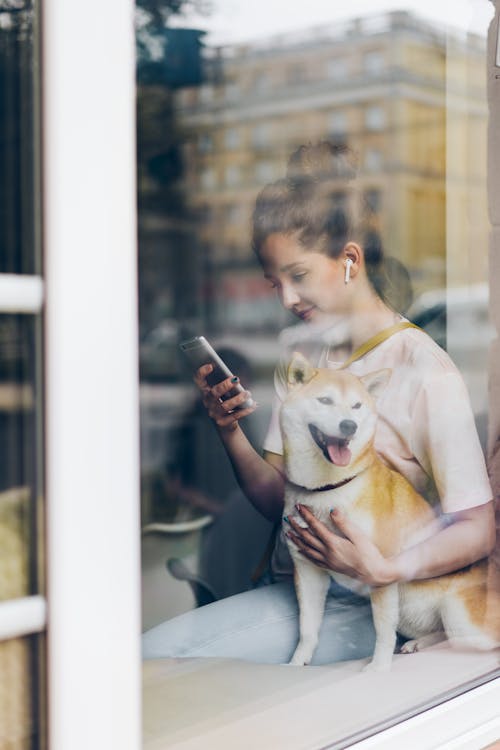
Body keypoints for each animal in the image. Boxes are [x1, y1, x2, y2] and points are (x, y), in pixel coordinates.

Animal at [280, 356, 498, 672]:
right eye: (325, 400)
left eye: (357, 406)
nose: (349, 425)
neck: (327, 488)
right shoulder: (308, 571)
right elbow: (307, 629)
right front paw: (296, 663)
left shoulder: (378, 571)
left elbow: (382, 631)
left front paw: (379, 668)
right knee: (441, 635)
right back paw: (419, 643)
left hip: (458, 613)